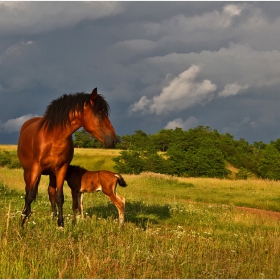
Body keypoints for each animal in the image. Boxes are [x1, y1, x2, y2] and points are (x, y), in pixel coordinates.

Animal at [17, 88, 116, 228]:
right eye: (99, 112)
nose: (113, 140)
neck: (53, 137)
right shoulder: (36, 168)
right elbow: (30, 195)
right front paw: (22, 222)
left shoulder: (61, 169)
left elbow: (59, 196)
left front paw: (60, 223)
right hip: (28, 171)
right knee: (28, 190)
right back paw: (26, 213)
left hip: (52, 174)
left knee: (51, 192)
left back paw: (53, 216)